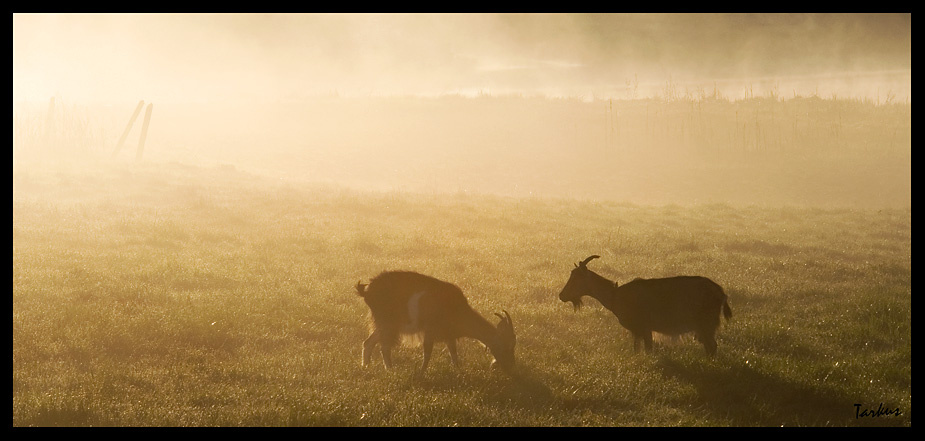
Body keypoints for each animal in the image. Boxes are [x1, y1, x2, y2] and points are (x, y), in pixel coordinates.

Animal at [355, 271, 516, 373]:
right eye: (507, 346)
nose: (511, 367)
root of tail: (366, 290)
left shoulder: (449, 335)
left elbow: (453, 353)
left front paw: (458, 370)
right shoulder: (430, 331)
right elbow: (427, 353)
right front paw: (421, 373)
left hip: (384, 324)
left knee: (368, 342)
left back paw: (366, 367)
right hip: (388, 323)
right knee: (384, 347)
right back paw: (390, 370)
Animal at [558, 255, 732, 356]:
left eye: (577, 277)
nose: (562, 295)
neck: (616, 296)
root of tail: (721, 292)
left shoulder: (645, 328)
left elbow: (648, 350)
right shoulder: (638, 331)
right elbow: (637, 349)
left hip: (706, 324)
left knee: (712, 346)